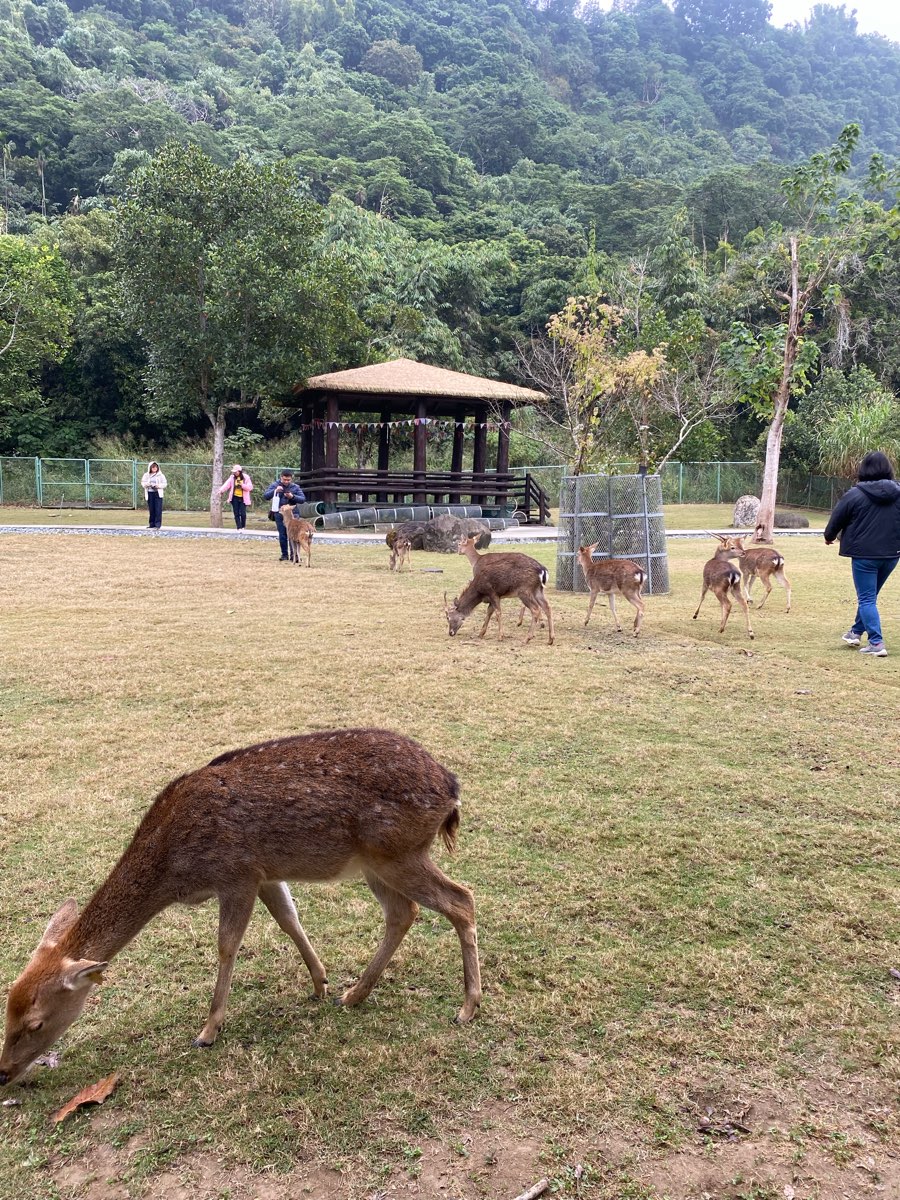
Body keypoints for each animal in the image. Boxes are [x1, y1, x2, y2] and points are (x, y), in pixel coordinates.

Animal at [0, 729, 481, 1088]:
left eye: (36, 1023)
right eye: (8, 1006)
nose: (3, 1073)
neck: (175, 867)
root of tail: (451, 788)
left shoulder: (236, 874)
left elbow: (227, 945)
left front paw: (208, 1031)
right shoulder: (264, 873)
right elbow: (289, 920)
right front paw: (320, 984)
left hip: (397, 853)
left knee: (461, 899)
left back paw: (467, 1006)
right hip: (376, 864)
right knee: (404, 913)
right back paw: (354, 994)